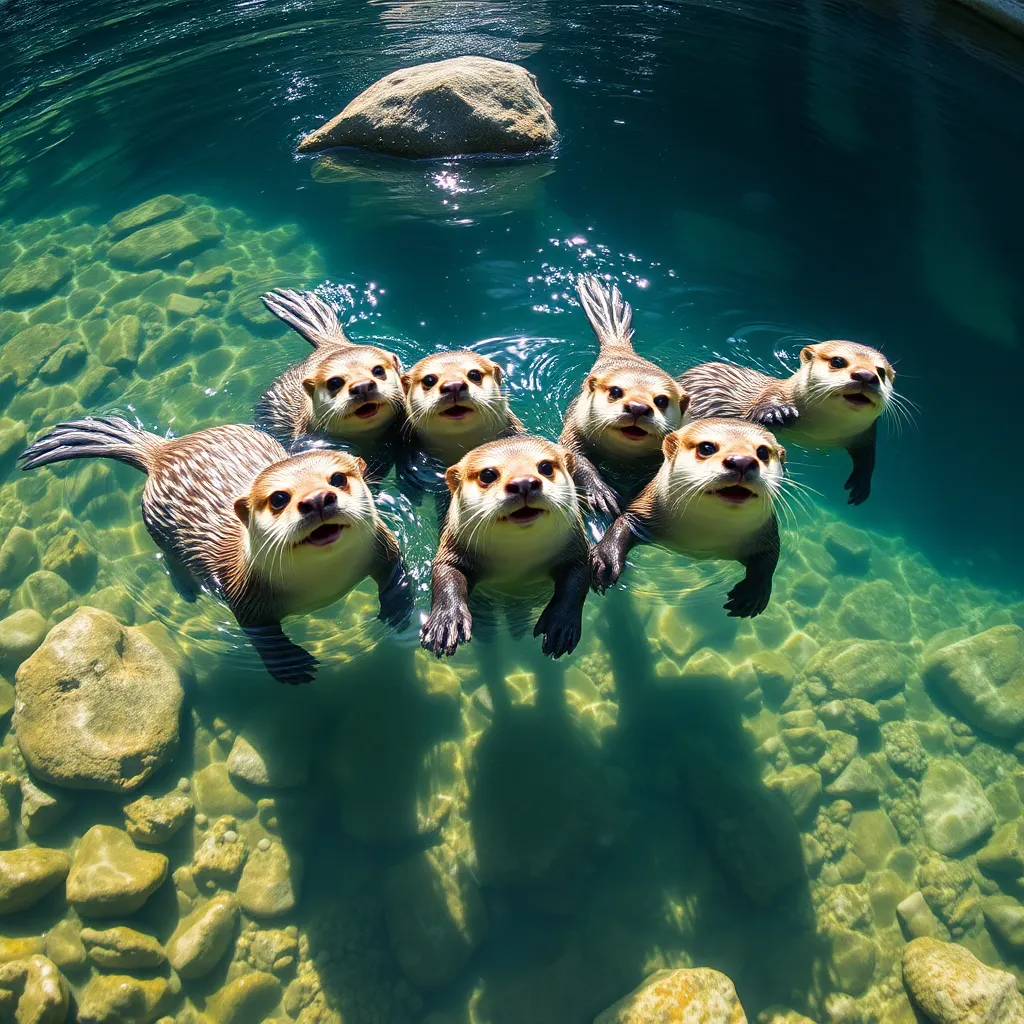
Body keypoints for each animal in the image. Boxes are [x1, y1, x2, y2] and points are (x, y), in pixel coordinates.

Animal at [20, 417, 411, 685]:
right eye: (279, 498)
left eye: (338, 479)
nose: (317, 499)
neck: (325, 585)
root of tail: (161, 451)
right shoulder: (243, 593)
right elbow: (261, 634)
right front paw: (291, 665)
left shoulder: (384, 544)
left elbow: (396, 572)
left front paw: (397, 610)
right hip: (157, 527)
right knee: (171, 558)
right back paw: (187, 590)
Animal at [420, 435, 590, 659]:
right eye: (488, 474)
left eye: (545, 467)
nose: (524, 482)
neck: (516, 563)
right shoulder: (452, 548)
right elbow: (446, 572)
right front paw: (445, 623)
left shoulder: (577, 549)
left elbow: (577, 581)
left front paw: (560, 625)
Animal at [561, 275, 689, 516]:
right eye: (616, 391)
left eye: (661, 400)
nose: (638, 407)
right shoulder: (574, 429)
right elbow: (576, 457)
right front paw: (601, 492)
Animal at [590, 419, 787, 617]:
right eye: (707, 447)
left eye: (762, 452)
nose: (742, 461)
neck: (699, 539)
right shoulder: (643, 512)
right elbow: (622, 524)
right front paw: (607, 562)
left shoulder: (765, 534)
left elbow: (769, 558)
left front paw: (752, 594)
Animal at [680, 341, 896, 505]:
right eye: (838, 361)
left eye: (880, 372)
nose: (866, 375)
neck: (820, 431)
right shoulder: (771, 394)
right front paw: (778, 412)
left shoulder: (865, 434)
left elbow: (867, 456)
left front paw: (861, 484)